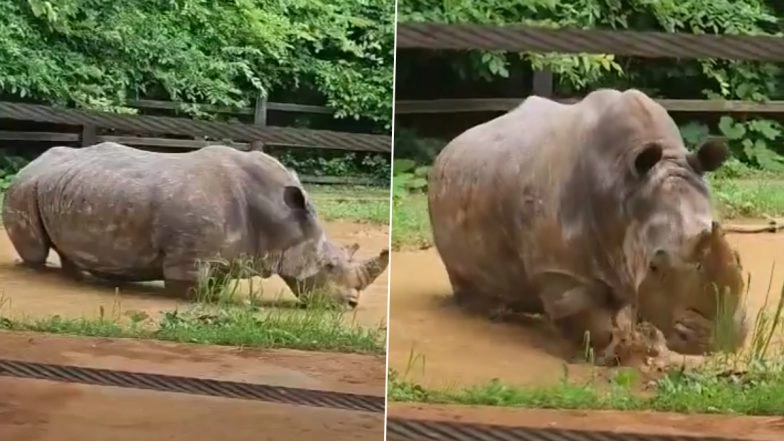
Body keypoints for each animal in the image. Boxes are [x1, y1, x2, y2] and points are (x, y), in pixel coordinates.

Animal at [2, 142, 388, 308]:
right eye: (328, 266)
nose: (351, 305)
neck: (279, 217)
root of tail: (33, 161)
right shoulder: (188, 258)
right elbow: (191, 290)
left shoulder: (225, 256)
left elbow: (214, 285)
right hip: (22, 187)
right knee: (35, 249)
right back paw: (41, 272)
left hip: (64, 186)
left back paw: (78, 276)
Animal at [427, 88, 730, 365]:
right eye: (656, 265)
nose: (708, 342)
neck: (623, 186)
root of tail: (446, 149)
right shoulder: (559, 268)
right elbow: (584, 315)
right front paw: (611, 355)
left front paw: (650, 350)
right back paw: (492, 312)